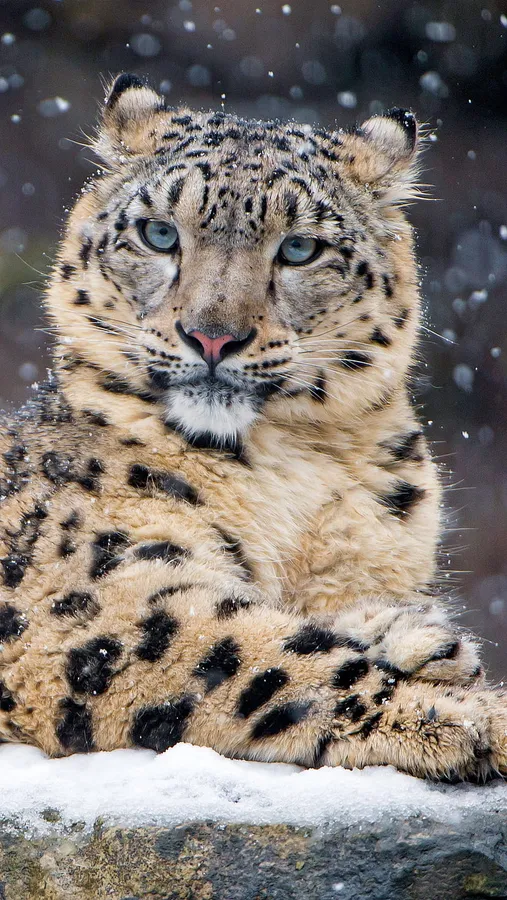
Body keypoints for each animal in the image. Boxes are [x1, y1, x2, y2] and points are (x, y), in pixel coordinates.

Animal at [0, 72, 505, 781]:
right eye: (159, 234)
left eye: (299, 248)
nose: (212, 335)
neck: (293, 476)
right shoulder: (95, 601)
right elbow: (273, 659)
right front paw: (475, 715)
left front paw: (420, 637)